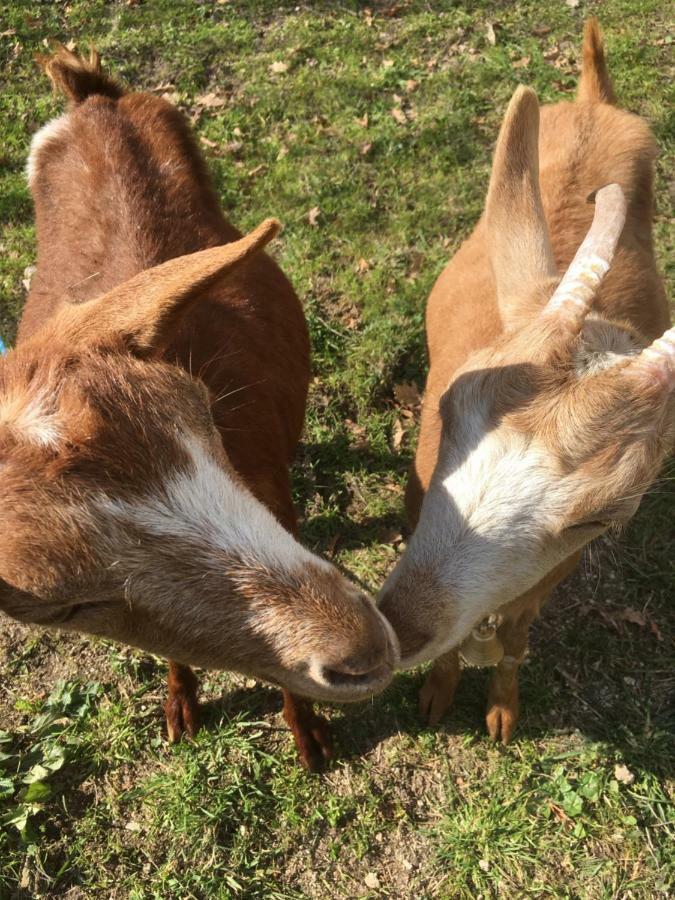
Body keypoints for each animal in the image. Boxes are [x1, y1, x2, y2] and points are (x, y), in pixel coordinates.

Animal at [1, 45, 402, 768]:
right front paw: (180, 707)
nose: (361, 650)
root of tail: (89, 96)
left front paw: (309, 737)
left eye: (202, 416)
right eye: (63, 606)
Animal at [382, 19, 672, 740]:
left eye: (600, 517)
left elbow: (515, 636)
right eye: (447, 407)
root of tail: (594, 101)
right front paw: (436, 692)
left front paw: (500, 710)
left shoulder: (549, 574)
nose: (401, 624)